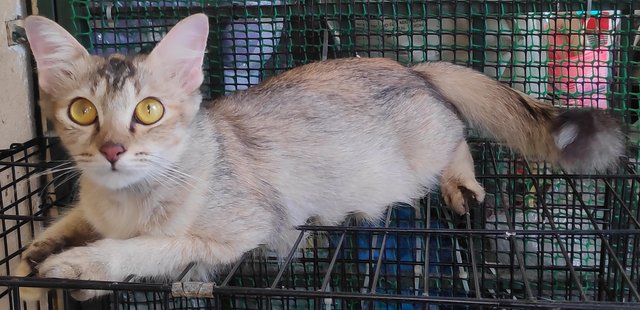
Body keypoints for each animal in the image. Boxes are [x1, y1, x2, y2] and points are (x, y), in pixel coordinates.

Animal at [16, 13, 624, 302]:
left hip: (427, 145)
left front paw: (81, 266)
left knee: (460, 139)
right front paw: (39, 249)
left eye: (148, 110)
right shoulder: (93, 204)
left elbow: (147, 248)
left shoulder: (240, 231)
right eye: (81, 112)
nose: (113, 150)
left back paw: (461, 187)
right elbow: (70, 220)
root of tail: (413, 67)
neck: (125, 203)